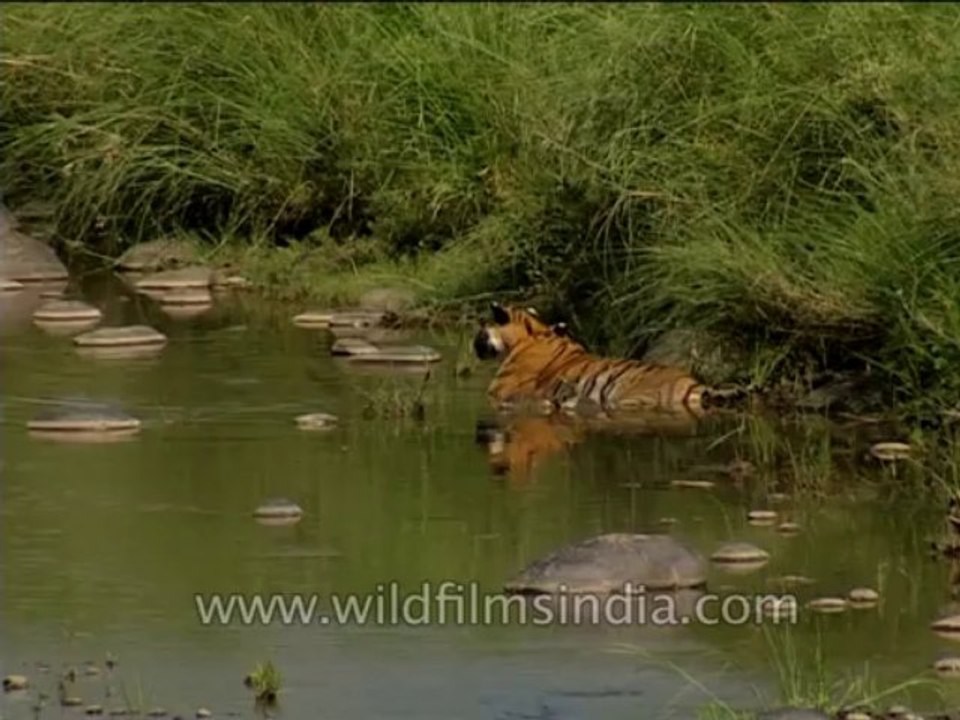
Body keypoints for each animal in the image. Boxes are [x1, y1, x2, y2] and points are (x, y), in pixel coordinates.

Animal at [472, 302, 710, 417]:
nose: (473, 347)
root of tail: (692, 383)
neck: (534, 333)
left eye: (481, 329)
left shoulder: (498, 391)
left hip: (630, 397)